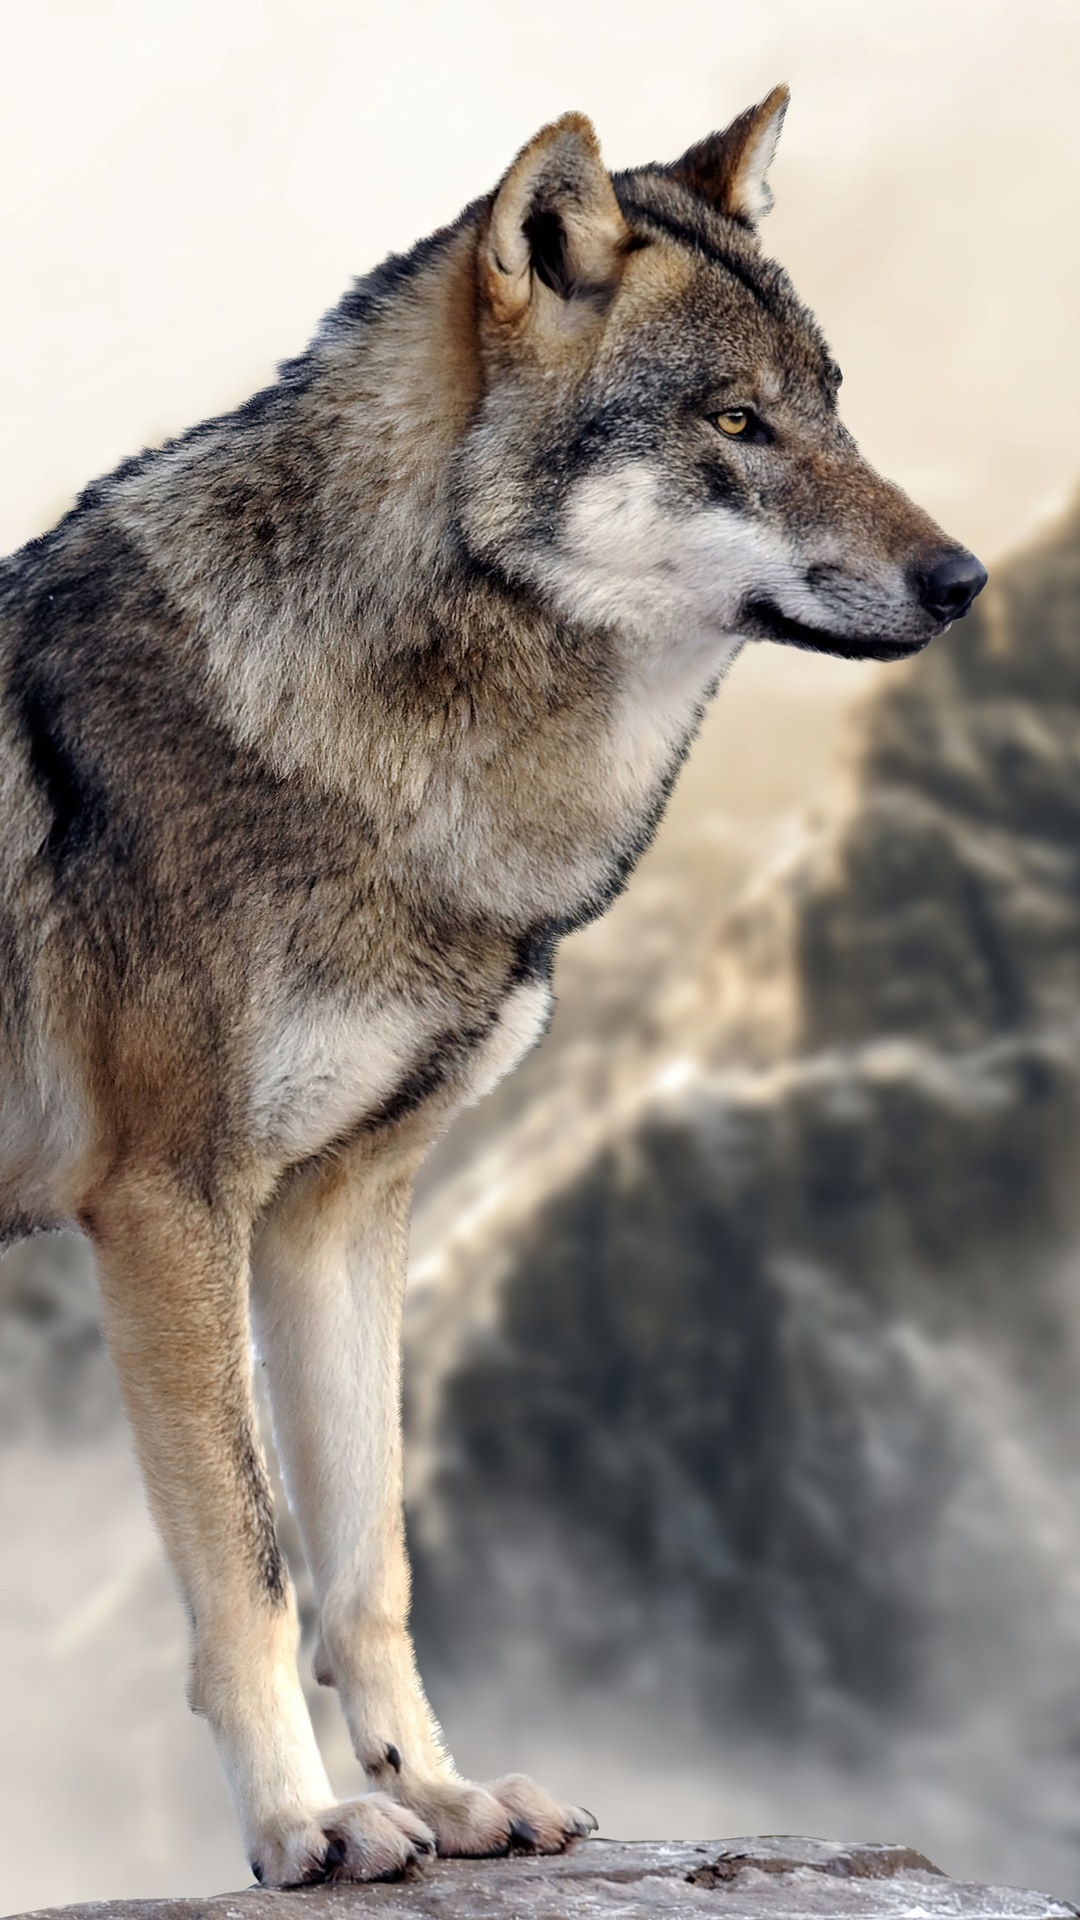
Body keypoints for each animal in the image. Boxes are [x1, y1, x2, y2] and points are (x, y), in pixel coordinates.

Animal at [0, 88, 985, 1884]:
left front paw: (440, 1797)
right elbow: (252, 1564)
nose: (965, 581)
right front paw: (308, 1825)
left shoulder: (339, 1210)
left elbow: (369, 1560)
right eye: (735, 422)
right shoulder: (168, 1208)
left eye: (833, 407)